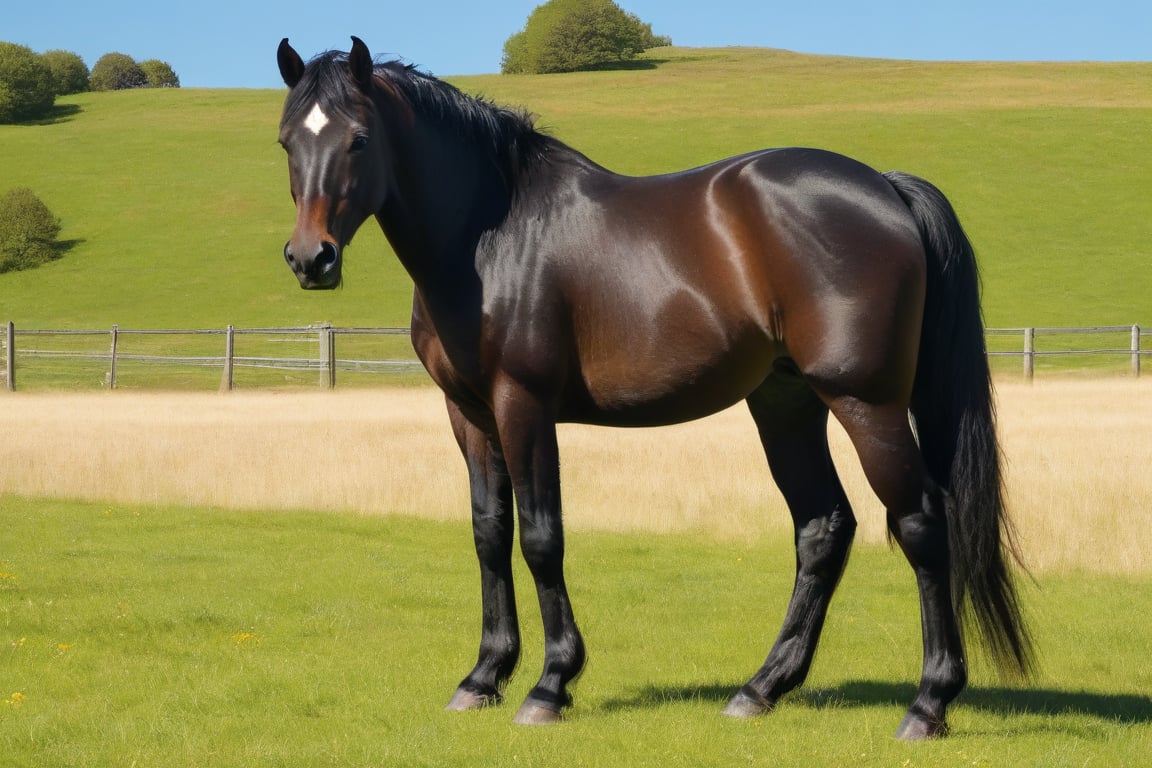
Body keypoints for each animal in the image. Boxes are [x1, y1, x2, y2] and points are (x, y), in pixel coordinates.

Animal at [274, 35, 1032, 736]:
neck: (490, 239)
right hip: (785, 404)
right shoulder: (468, 414)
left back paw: (927, 703)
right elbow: (489, 534)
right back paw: (761, 688)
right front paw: (483, 676)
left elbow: (541, 537)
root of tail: (885, 184)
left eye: (359, 139)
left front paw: (550, 685)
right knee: (823, 527)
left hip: (865, 402)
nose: (312, 259)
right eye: (286, 141)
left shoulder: (523, 405)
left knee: (920, 522)